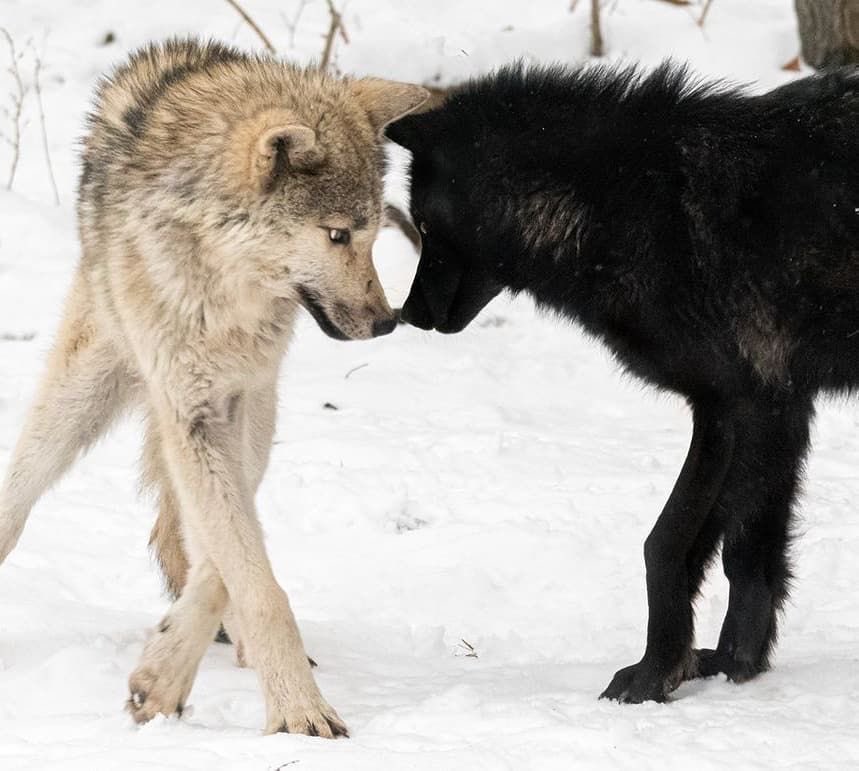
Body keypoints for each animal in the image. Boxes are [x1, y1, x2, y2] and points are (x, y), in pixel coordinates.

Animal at [0, 38, 427, 736]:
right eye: (337, 234)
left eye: (372, 234)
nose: (388, 320)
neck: (226, 293)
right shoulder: (189, 410)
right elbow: (252, 576)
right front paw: (301, 712)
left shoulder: (242, 401)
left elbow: (233, 560)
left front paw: (165, 675)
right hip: (82, 393)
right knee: (19, 496)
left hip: (258, 410)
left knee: (187, 539)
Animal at [387, 63, 859, 704]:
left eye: (426, 225)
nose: (407, 313)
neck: (630, 204)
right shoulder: (769, 409)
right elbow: (746, 555)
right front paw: (734, 665)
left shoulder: (739, 407)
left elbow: (665, 546)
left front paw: (655, 674)